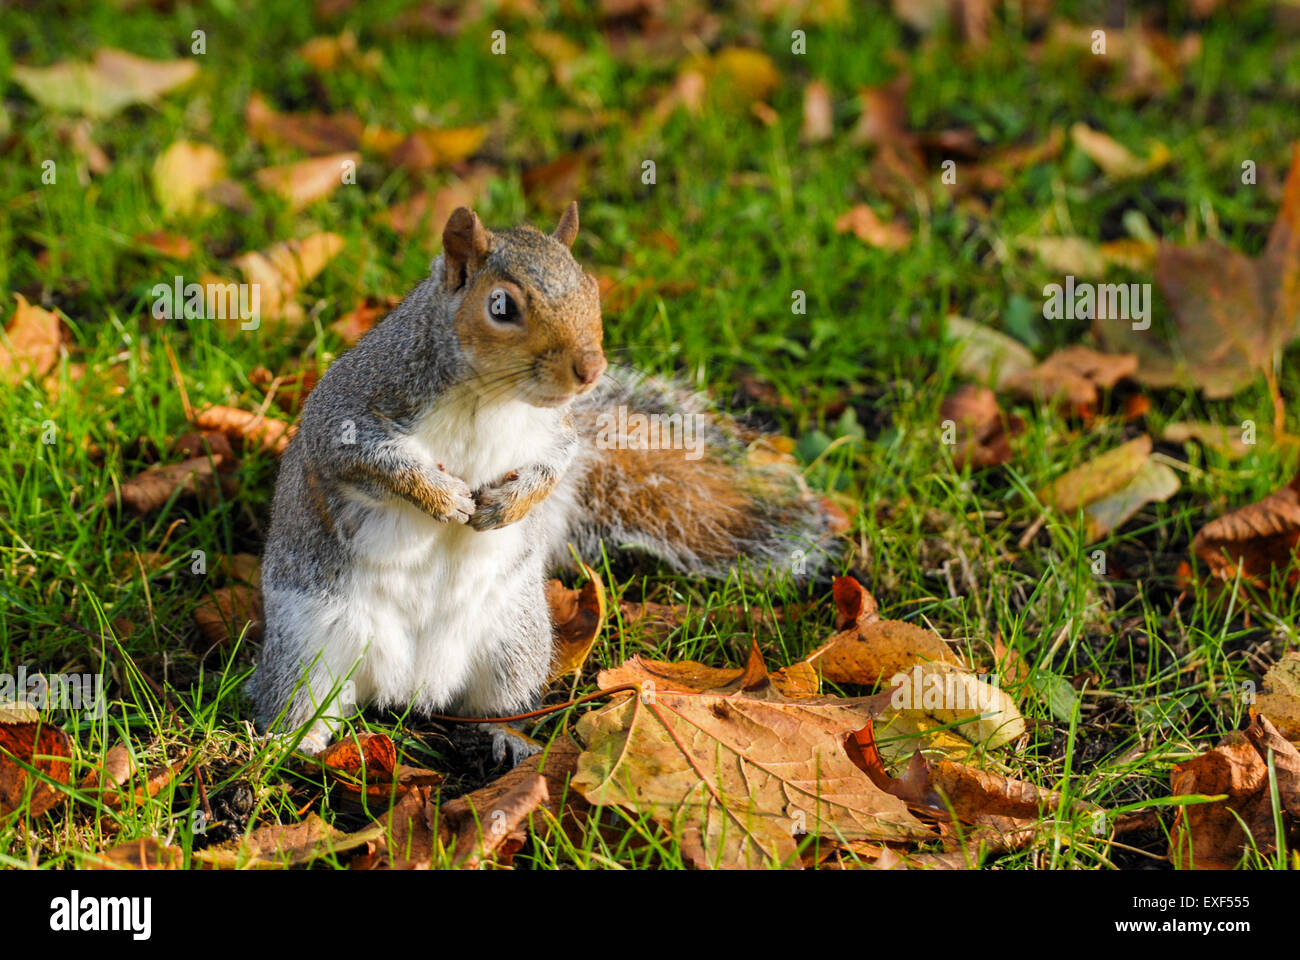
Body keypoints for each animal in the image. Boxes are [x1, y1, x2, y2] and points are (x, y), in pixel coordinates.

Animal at [245, 201, 842, 764]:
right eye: (501, 306)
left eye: (592, 289)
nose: (591, 369)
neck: (490, 399)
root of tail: (411, 689)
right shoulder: (352, 409)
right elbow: (370, 459)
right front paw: (442, 497)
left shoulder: (554, 434)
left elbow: (554, 466)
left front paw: (507, 506)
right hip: (309, 647)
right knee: (302, 701)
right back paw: (292, 744)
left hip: (516, 644)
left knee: (494, 707)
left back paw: (506, 739)